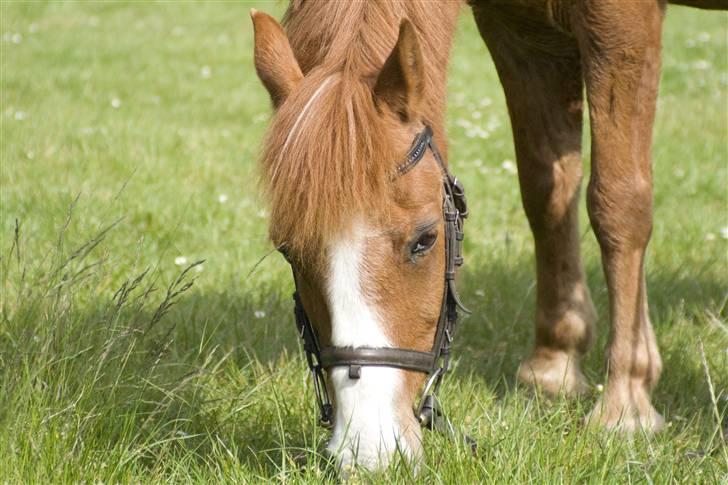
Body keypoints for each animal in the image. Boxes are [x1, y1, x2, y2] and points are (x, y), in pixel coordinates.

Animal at [252, 0, 728, 472]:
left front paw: (625, 402)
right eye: (289, 251)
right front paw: (554, 364)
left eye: (425, 239)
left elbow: (618, 205)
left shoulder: (624, 22)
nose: (368, 449)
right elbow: (546, 191)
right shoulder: (519, 31)